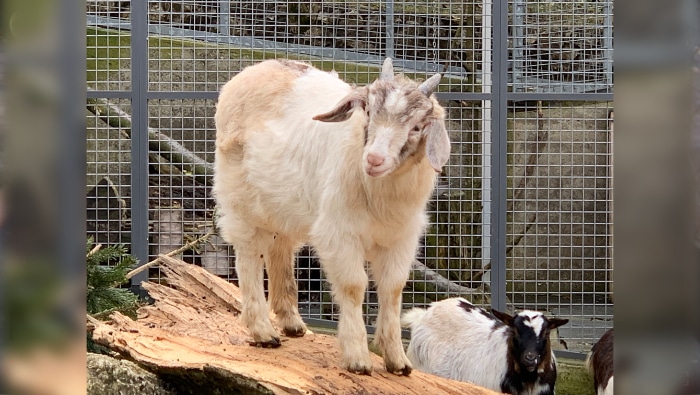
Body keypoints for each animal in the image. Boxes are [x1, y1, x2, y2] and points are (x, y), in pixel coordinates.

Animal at [213, 57, 452, 376]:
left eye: (416, 127)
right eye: (368, 112)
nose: (374, 160)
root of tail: (255, 69)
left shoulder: (400, 238)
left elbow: (392, 288)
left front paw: (398, 361)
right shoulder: (340, 232)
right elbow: (354, 286)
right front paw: (358, 358)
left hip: (286, 205)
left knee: (281, 248)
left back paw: (292, 323)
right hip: (241, 196)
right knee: (249, 253)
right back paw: (263, 331)